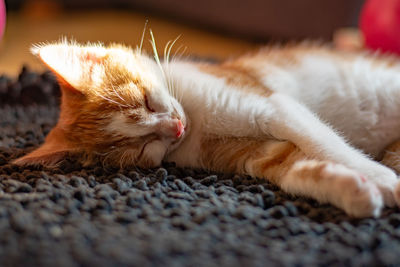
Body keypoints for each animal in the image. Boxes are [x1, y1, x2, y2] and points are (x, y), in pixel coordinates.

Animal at [12, 40, 400, 220]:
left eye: (147, 102)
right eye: (142, 148)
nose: (175, 128)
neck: (197, 123)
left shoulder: (273, 107)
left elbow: (326, 142)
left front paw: (381, 178)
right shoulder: (252, 155)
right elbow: (294, 170)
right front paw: (352, 190)